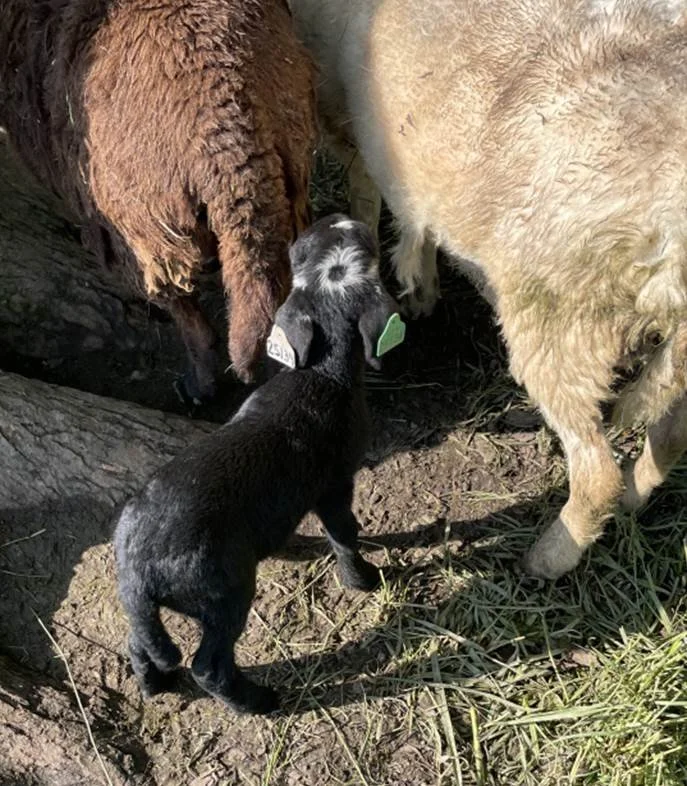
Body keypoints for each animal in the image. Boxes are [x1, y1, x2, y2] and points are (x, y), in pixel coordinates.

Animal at [113, 214, 403, 713]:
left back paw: (156, 687)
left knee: (140, 642)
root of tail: (139, 572)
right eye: (363, 251)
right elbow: (344, 534)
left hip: (153, 610)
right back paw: (259, 702)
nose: (337, 218)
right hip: (224, 592)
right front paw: (365, 580)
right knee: (208, 666)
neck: (317, 372)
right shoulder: (334, 482)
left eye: (303, 252)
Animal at [288, 0, 687, 578]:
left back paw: (548, 557)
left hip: (559, 319)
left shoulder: (343, 114)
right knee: (672, 432)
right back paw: (637, 494)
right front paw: (421, 286)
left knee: (596, 474)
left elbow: (365, 194)